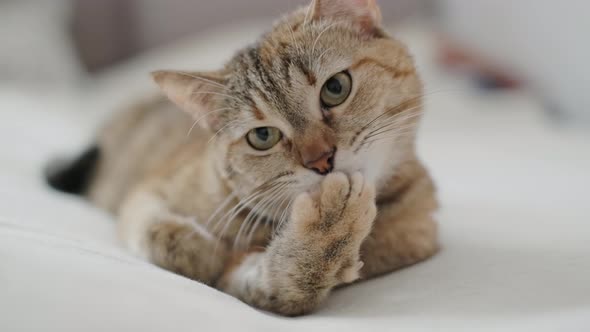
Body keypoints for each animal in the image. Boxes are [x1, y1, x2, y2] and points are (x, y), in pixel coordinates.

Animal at [48, 0, 440, 316]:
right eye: (263, 136)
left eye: (335, 88)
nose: (321, 160)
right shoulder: (146, 191)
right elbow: (156, 232)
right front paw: (199, 251)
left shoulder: (413, 235)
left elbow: (286, 284)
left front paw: (328, 230)